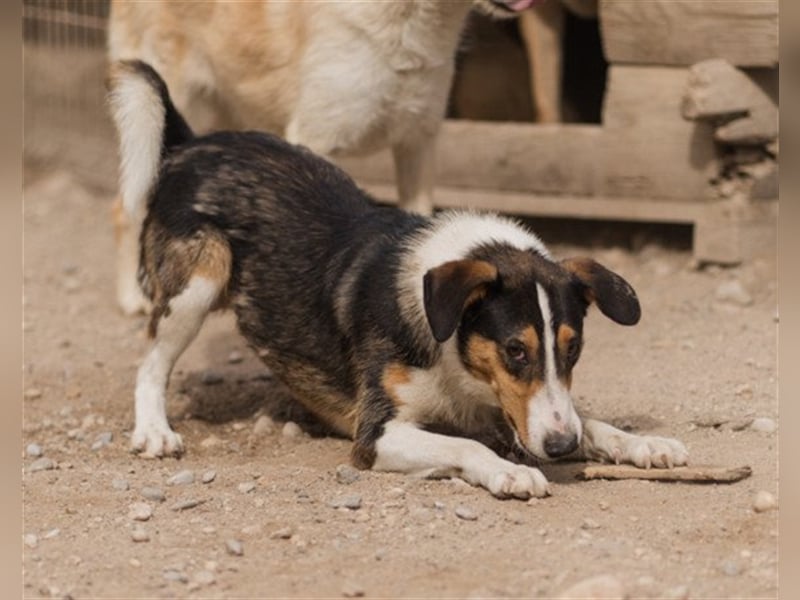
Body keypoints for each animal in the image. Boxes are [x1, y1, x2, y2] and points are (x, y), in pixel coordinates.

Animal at [109, 61, 692, 500]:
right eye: (515, 350)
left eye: (574, 349)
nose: (560, 450)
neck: (452, 355)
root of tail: (192, 143)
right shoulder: (377, 434)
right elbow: (467, 446)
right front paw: (510, 470)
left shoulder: (517, 409)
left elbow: (586, 418)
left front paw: (643, 443)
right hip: (198, 281)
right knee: (150, 362)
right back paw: (155, 430)